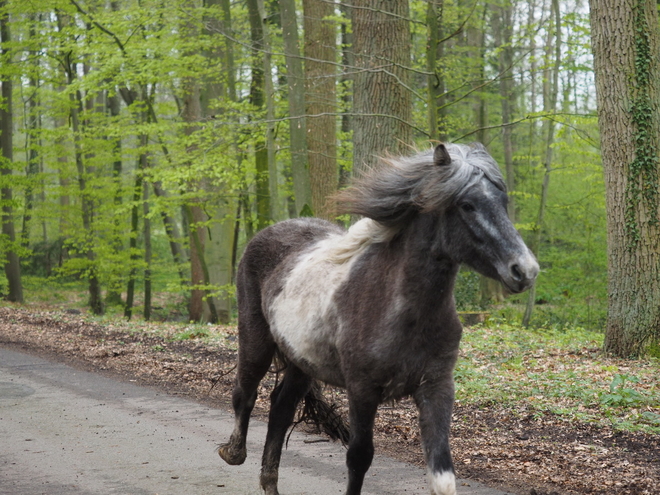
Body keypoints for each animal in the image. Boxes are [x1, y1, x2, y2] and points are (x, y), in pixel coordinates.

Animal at [219, 141, 540, 494]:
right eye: (467, 205)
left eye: (503, 202)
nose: (524, 270)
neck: (405, 312)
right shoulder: (362, 390)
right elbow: (359, 458)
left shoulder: (436, 387)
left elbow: (442, 475)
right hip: (256, 341)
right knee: (245, 394)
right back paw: (232, 452)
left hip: (303, 362)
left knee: (280, 407)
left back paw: (270, 483)